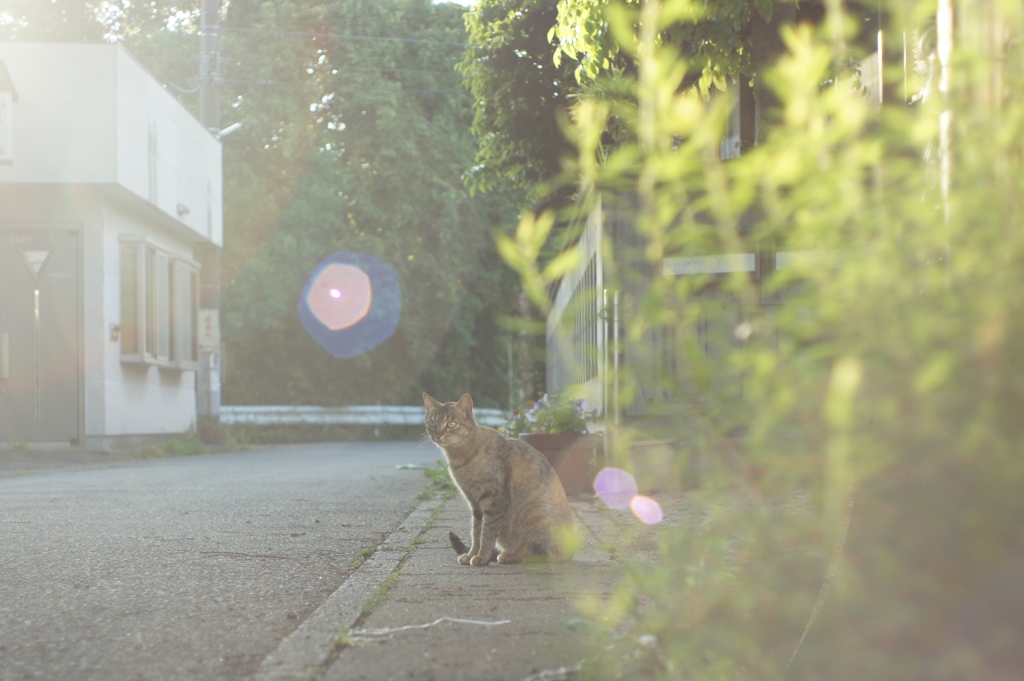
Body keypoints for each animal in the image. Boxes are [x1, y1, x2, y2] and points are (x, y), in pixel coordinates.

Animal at [419, 393, 573, 561]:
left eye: (451, 424)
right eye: (432, 422)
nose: (437, 435)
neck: (461, 456)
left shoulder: (493, 499)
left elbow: (487, 533)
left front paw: (482, 557)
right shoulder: (475, 504)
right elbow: (476, 532)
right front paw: (471, 554)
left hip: (533, 512)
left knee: (544, 554)